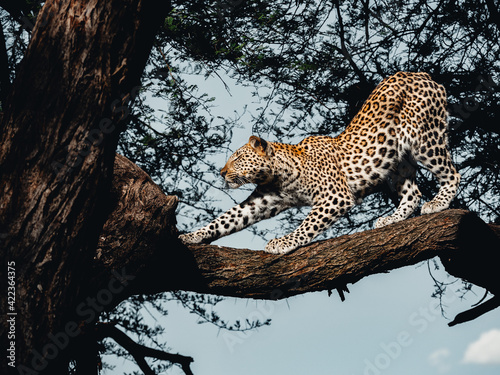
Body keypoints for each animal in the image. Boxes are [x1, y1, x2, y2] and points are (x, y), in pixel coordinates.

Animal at [179, 72, 460, 256]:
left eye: (237, 157)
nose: (221, 172)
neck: (279, 174)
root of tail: (422, 73)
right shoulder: (262, 201)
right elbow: (226, 219)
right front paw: (192, 235)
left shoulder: (334, 196)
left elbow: (308, 224)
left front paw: (283, 242)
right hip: (396, 160)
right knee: (413, 193)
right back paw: (391, 219)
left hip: (426, 139)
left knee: (452, 173)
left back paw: (437, 203)